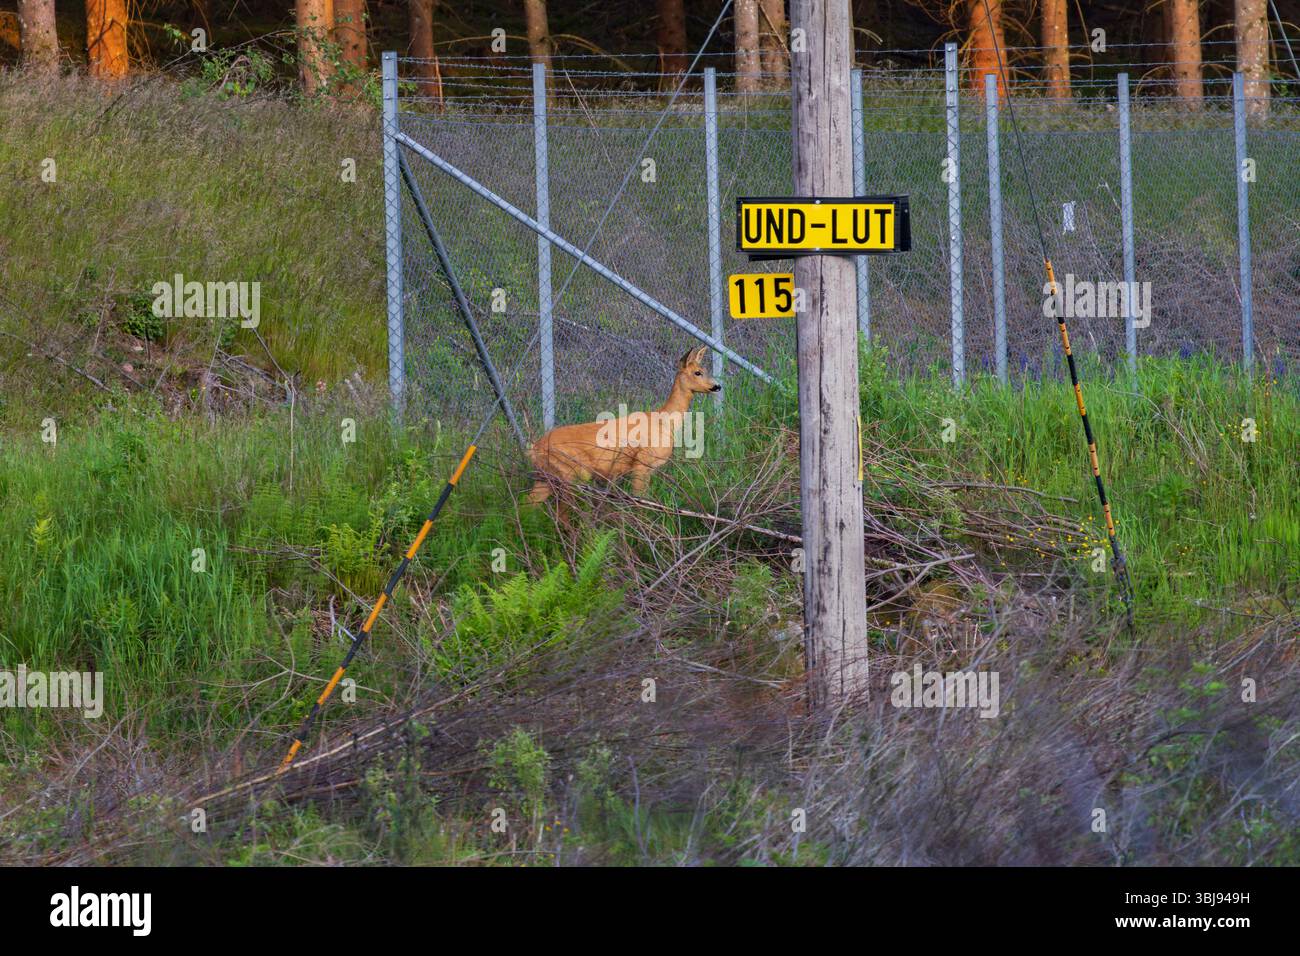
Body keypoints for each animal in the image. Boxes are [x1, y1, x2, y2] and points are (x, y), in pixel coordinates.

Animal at [527, 345, 720, 503]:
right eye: (697, 372)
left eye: (705, 370)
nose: (717, 386)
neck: (664, 422)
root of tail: (535, 448)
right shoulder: (642, 463)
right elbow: (641, 501)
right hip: (570, 472)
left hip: (546, 476)